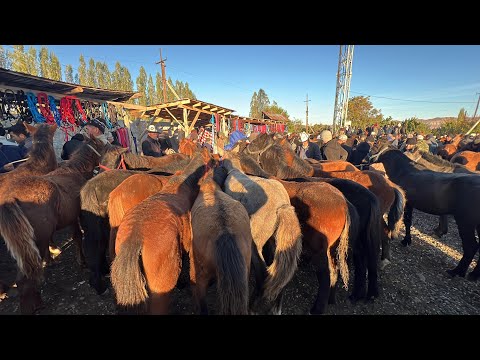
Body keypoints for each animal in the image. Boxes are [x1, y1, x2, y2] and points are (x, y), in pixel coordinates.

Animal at [0, 136, 105, 314]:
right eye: (102, 146)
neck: (74, 171)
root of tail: (11, 199)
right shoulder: (76, 217)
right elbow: (77, 237)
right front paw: (82, 261)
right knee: (25, 278)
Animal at [220, 153, 300, 314]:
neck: (234, 170)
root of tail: (282, 205)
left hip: (255, 242)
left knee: (263, 273)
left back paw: (252, 307)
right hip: (277, 241)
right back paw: (276, 307)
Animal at [372, 148, 480, 280]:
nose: (371, 158)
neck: (406, 172)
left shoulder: (409, 204)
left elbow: (407, 221)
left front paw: (406, 240)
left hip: (465, 222)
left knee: (471, 247)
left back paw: (456, 271)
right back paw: (474, 274)